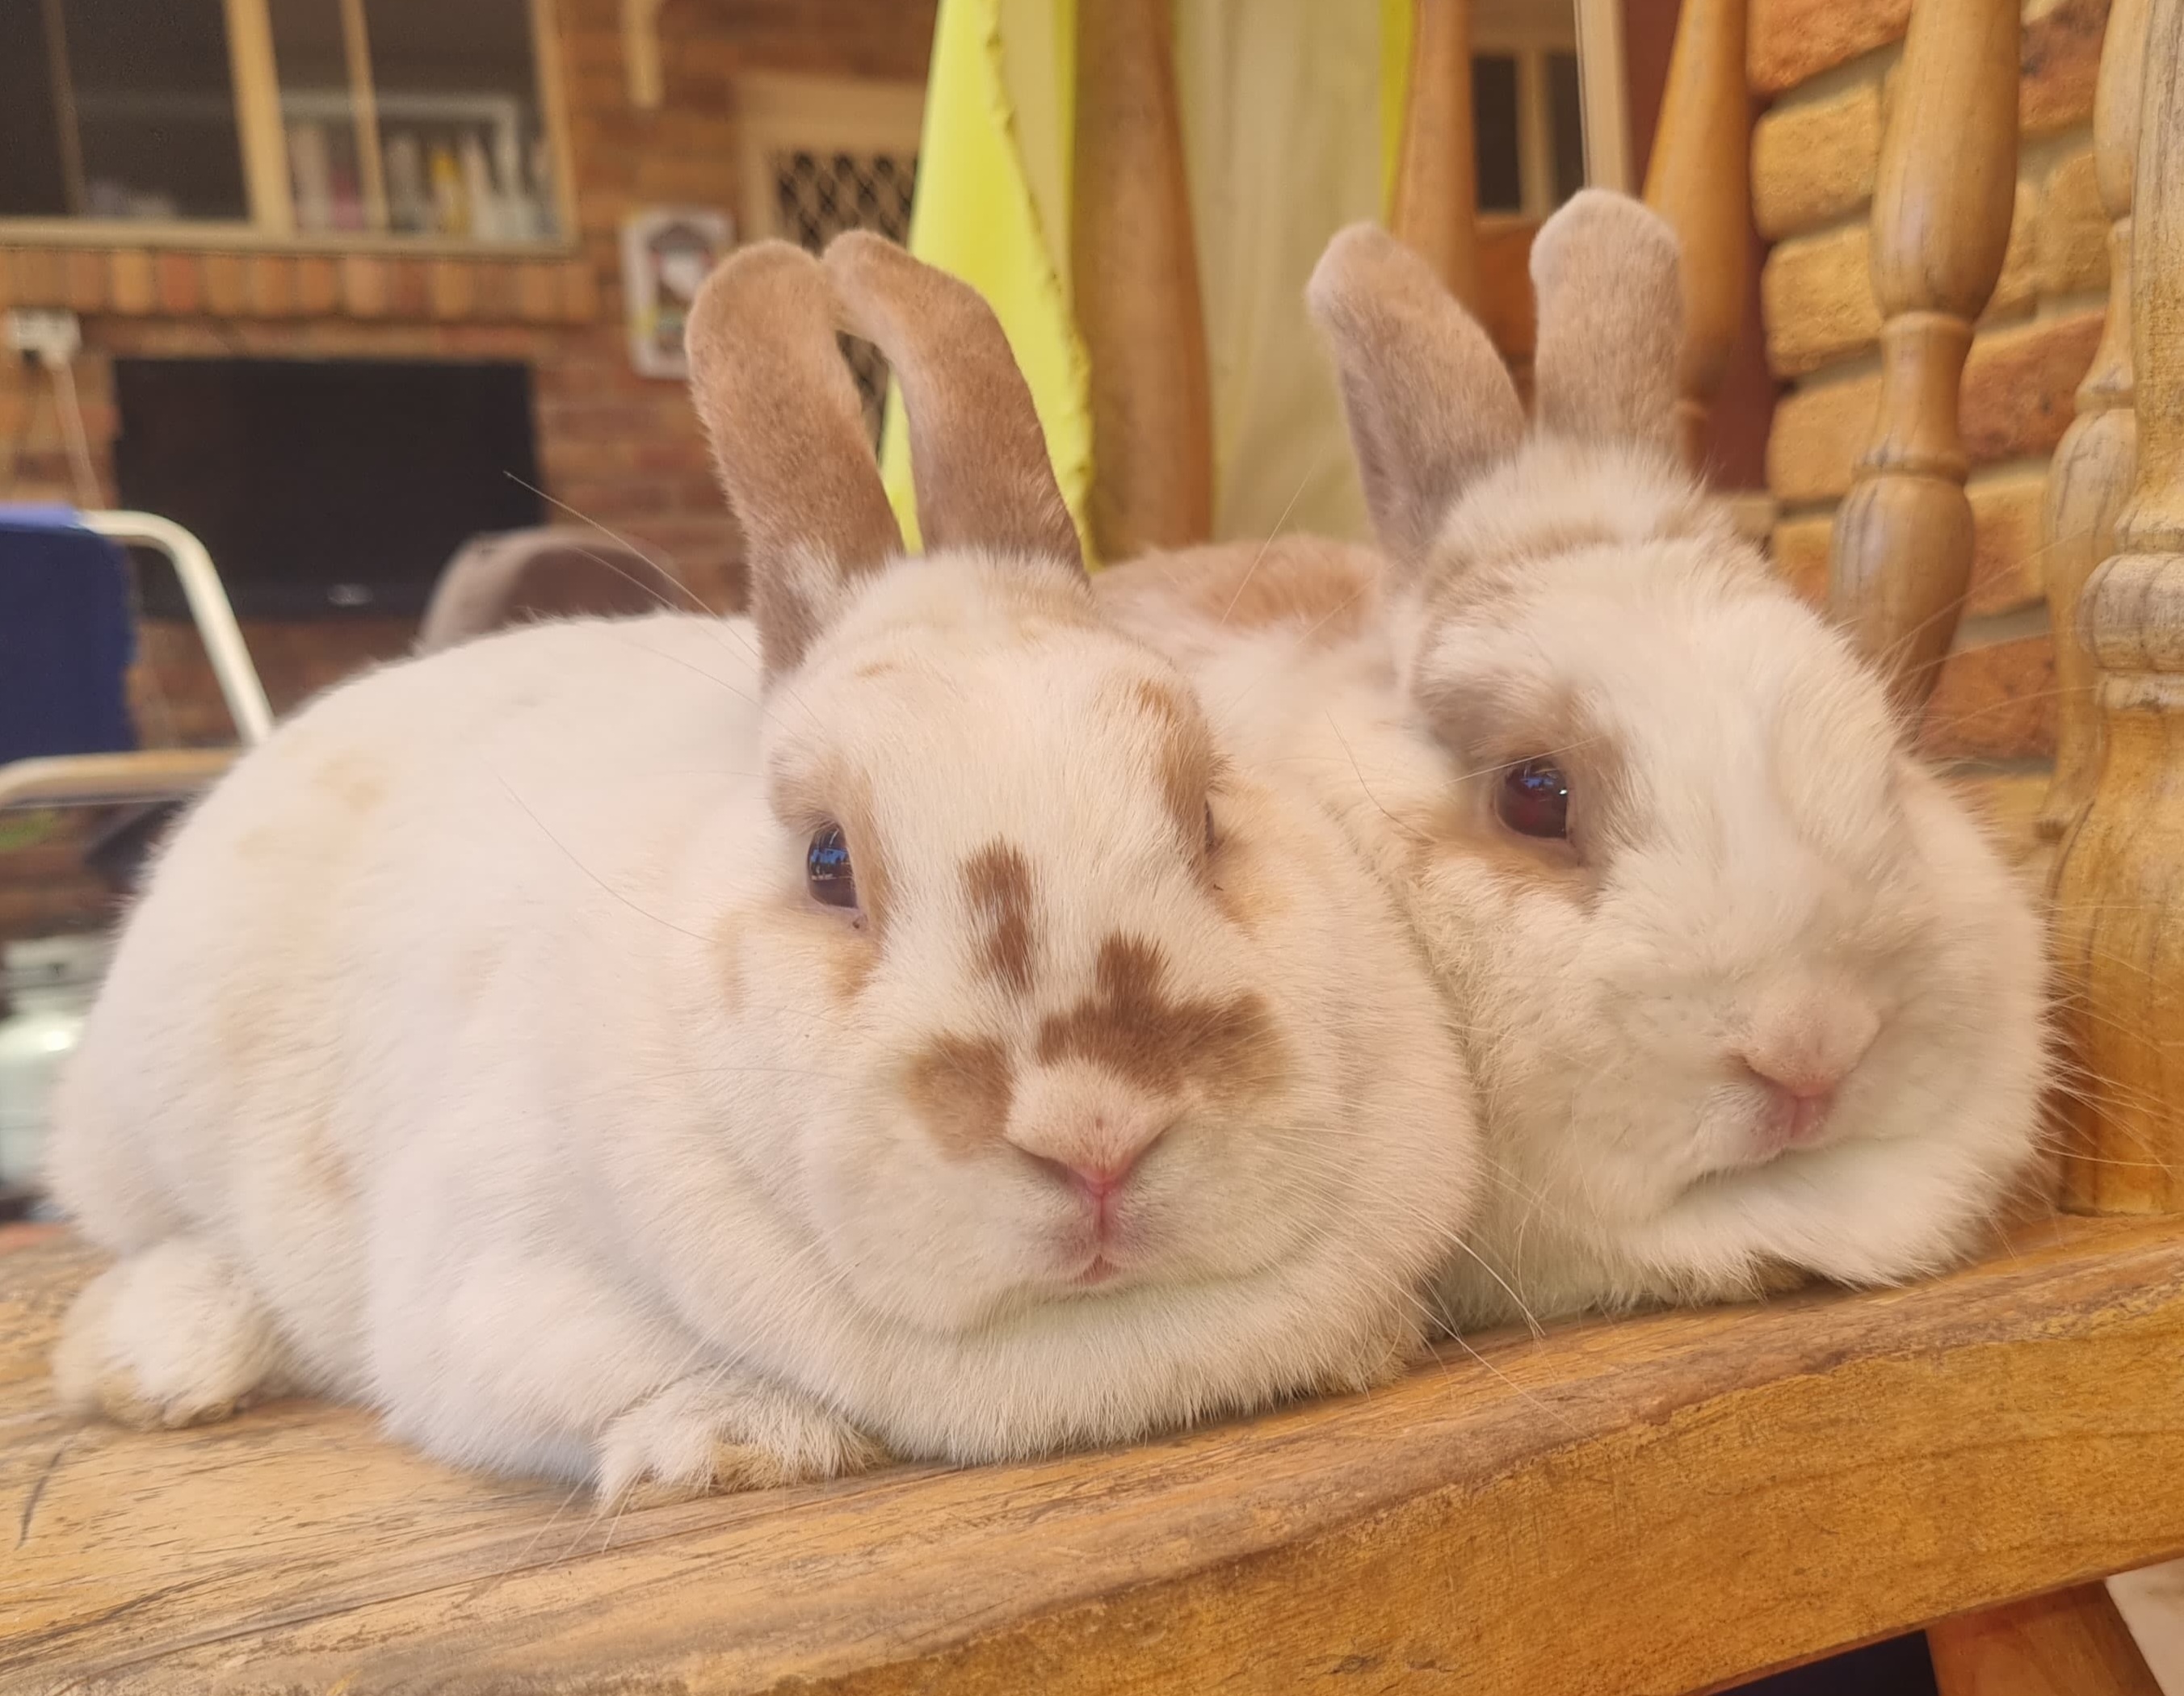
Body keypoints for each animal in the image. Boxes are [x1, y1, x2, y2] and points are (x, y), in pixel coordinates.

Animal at [44, 233, 1481, 1501]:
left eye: (1206, 814)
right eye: (828, 861)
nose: (1095, 1138)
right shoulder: (484, 1300)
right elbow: (576, 1381)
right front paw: (729, 1443)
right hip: (143, 1115)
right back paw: (161, 1359)